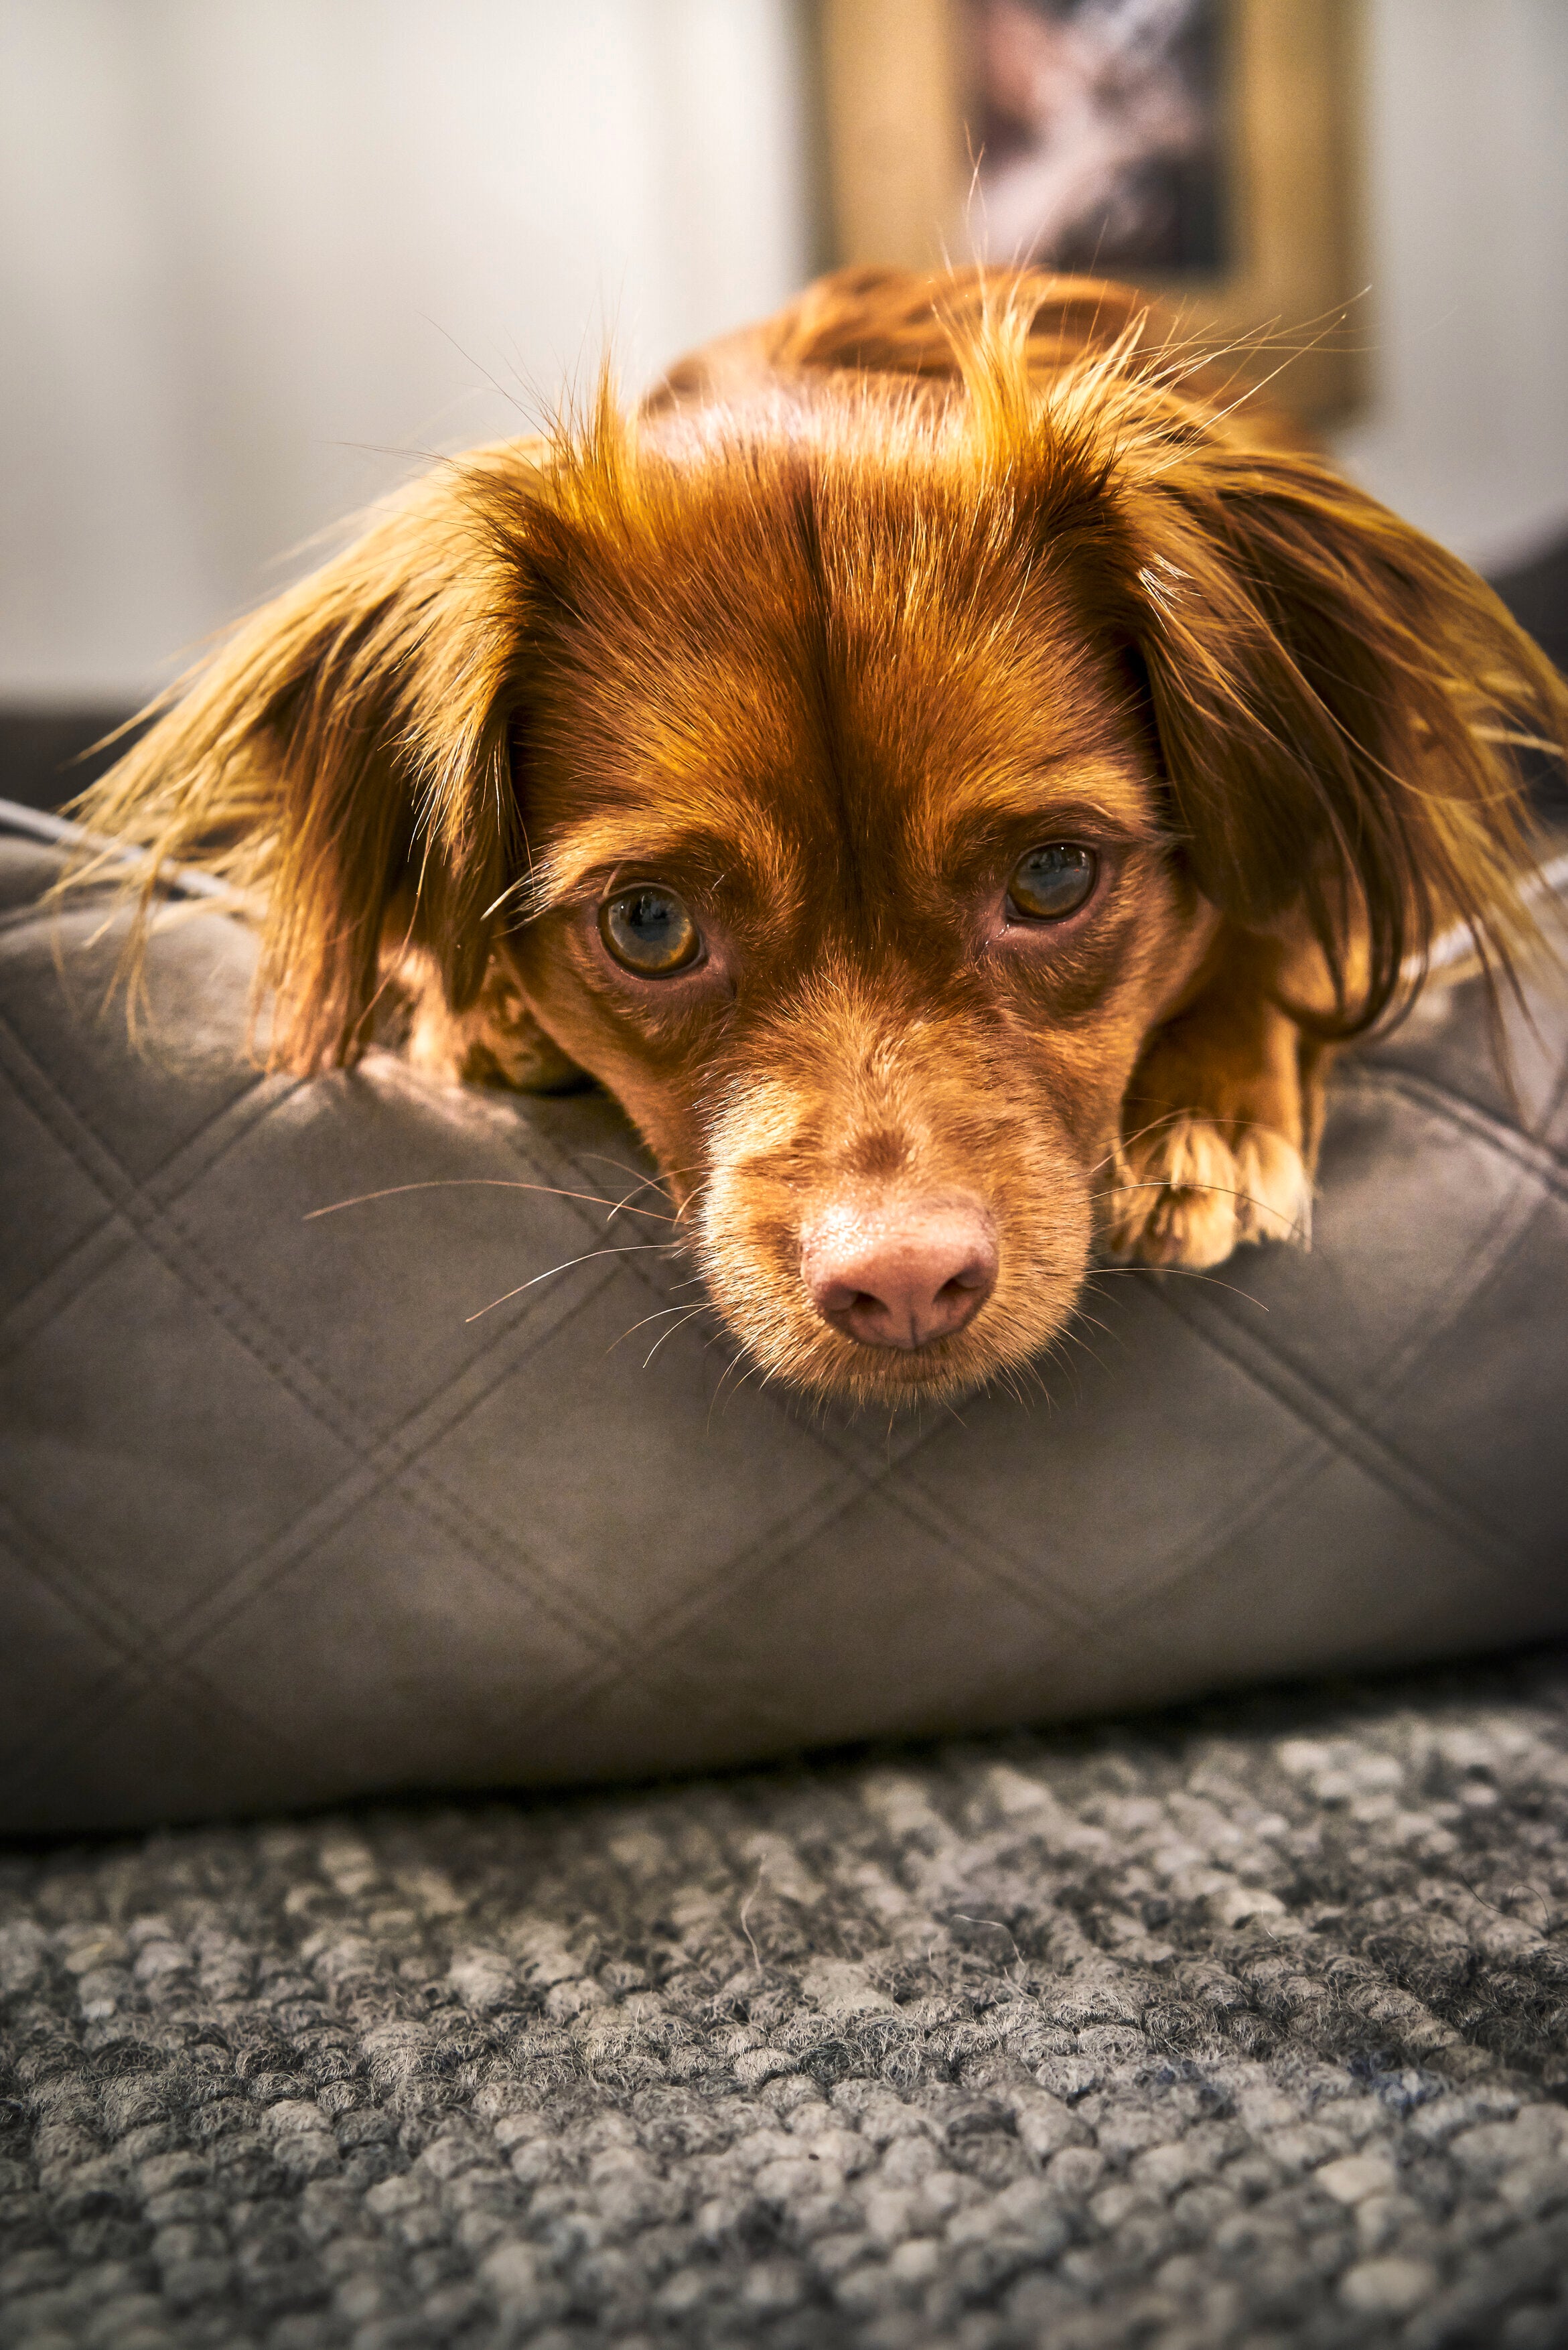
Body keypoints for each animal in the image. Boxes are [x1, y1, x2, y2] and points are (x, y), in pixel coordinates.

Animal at [86, 267, 1568, 1400]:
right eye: (648, 923)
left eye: (1053, 876)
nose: (906, 1285)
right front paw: (475, 1008)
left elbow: (1281, 919)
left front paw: (1204, 1112)